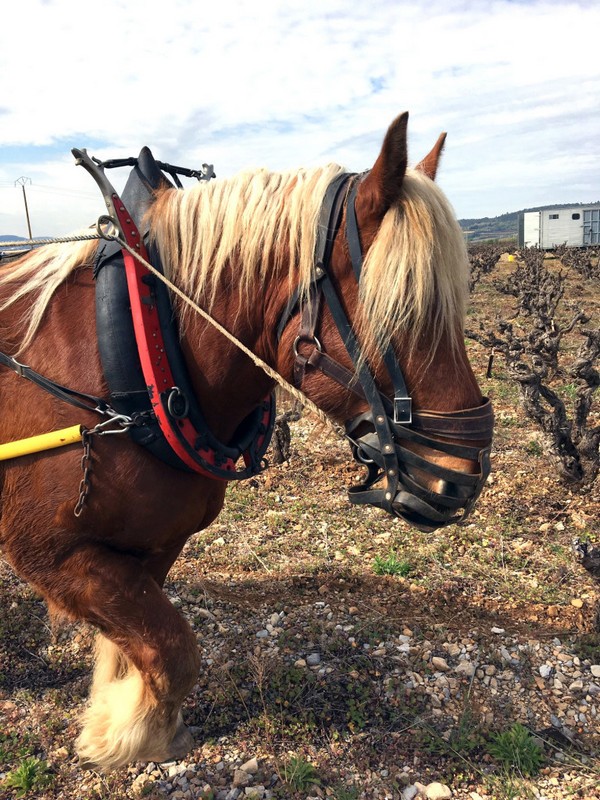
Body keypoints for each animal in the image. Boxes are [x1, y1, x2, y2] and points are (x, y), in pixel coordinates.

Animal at [0, 112, 493, 771]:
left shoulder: (154, 544)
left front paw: (125, 716)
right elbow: (174, 649)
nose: (462, 475)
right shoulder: (48, 552)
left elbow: (149, 646)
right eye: (403, 311)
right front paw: (123, 736)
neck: (138, 344)